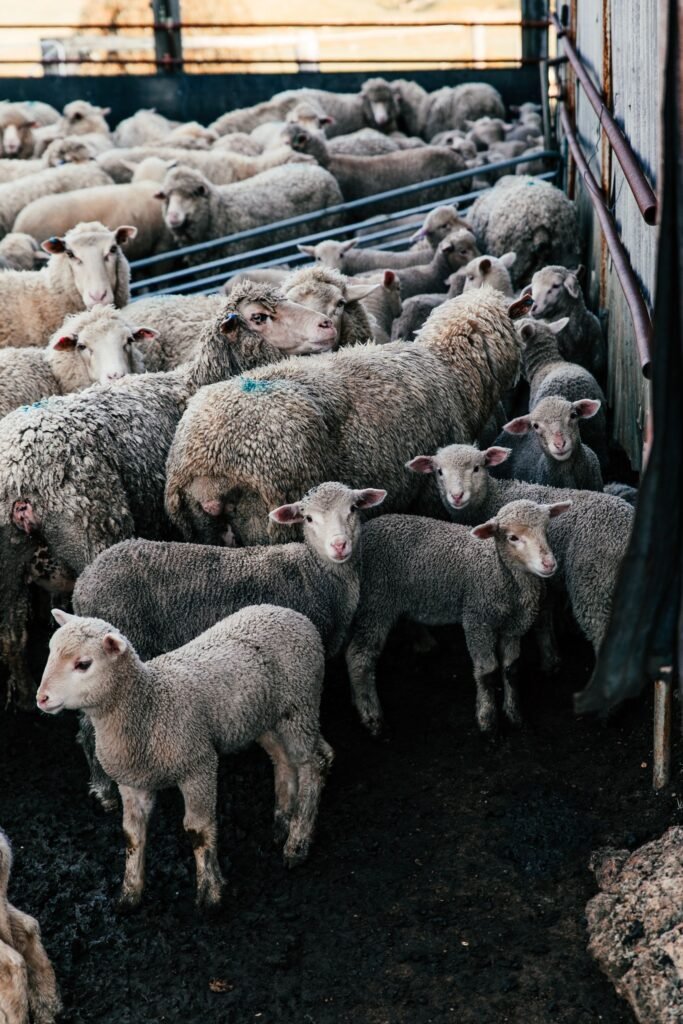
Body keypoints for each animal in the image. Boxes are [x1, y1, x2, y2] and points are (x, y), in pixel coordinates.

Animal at [37, 606, 333, 909]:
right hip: (262, 717)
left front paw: (210, 893)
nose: (41, 698)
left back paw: (297, 843)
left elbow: (197, 830)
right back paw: (281, 823)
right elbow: (132, 834)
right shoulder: (132, 781)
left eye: (83, 664)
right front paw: (129, 895)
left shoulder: (198, 766)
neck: (149, 705)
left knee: (313, 763)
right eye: (49, 651)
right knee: (284, 759)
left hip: (299, 705)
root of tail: (289, 613)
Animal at [73, 482, 384, 808]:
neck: (316, 574)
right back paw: (105, 790)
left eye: (353, 509)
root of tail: (83, 582)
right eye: (309, 518)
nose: (339, 546)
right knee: (89, 727)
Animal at [155, 164, 343, 263]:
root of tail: (318, 169)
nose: (172, 217)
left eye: (191, 195)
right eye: (167, 197)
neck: (221, 213)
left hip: (332, 224)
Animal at [163, 288, 521, 547]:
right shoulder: (432, 488)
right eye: (259, 316)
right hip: (275, 522)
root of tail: (206, 463)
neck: (450, 370)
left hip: (202, 526)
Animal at [345, 499, 569, 737]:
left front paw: (515, 715)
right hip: (375, 603)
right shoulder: (477, 619)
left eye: (545, 530)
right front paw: (487, 720)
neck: (499, 570)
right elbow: (487, 671)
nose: (549, 564)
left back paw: (357, 701)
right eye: (513, 538)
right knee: (359, 657)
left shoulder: (513, 627)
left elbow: (511, 669)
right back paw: (373, 718)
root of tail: (367, 529)